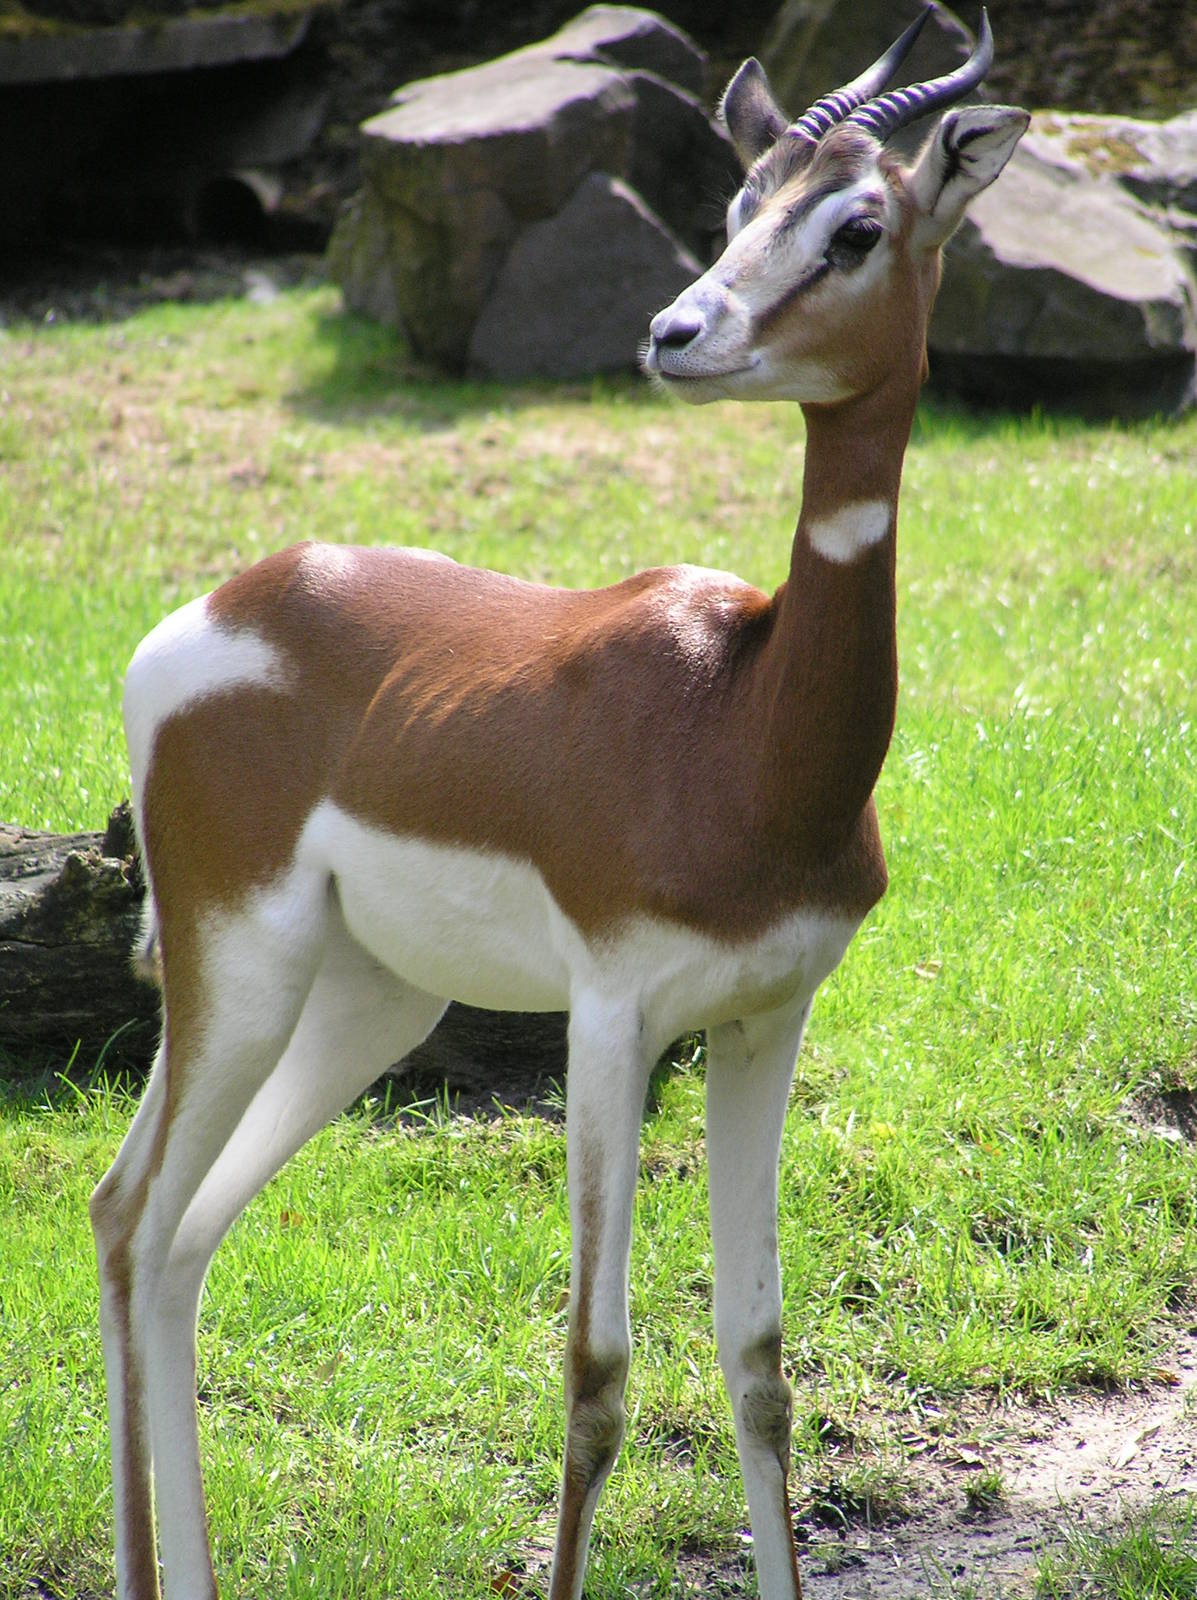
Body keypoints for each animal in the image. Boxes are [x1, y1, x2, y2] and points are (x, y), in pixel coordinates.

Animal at [91, 12, 1027, 1599]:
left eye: (856, 225)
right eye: (735, 204)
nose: (676, 334)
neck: (742, 726)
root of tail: (210, 611)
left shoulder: (767, 1019)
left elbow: (759, 1359)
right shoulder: (613, 1021)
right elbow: (595, 1373)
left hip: (363, 1001)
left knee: (172, 1235)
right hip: (241, 971)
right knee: (133, 1216)